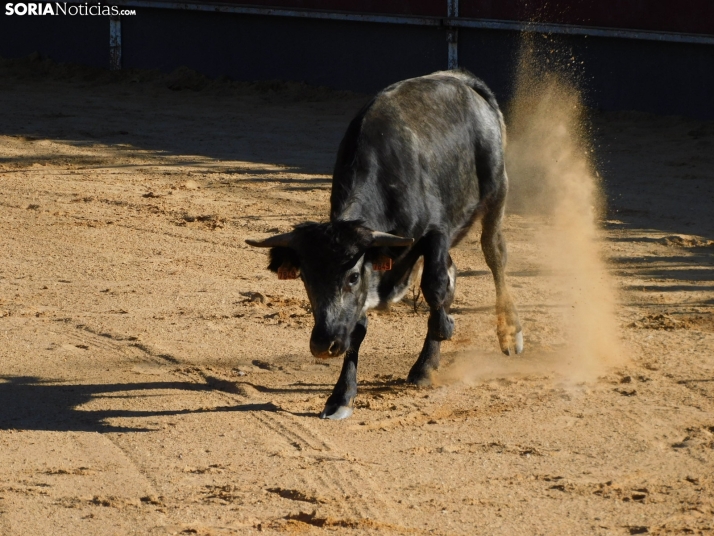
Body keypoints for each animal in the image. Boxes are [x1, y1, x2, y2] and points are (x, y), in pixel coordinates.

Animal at [248, 70, 520, 418]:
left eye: (351, 277)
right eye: (306, 279)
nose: (324, 345)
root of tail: (461, 80)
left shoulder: (436, 232)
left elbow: (434, 286)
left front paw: (445, 327)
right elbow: (358, 326)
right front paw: (341, 395)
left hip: (497, 192)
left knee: (493, 254)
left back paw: (509, 333)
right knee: (453, 271)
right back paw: (425, 366)